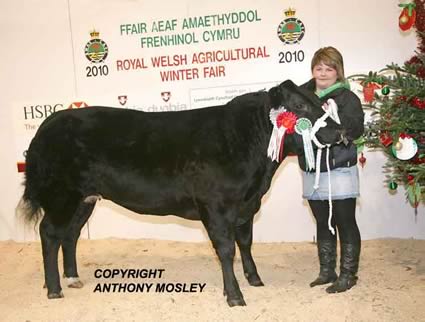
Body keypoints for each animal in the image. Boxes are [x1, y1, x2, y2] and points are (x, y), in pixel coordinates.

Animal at [19, 80, 342, 306]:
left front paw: (254, 279)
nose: (340, 133)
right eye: (300, 107)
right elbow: (226, 249)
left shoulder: (246, 205)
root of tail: (50, 122)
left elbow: (246, 243)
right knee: (50, 233)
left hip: (84, 199)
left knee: (70, 234)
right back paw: (54, 289)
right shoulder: (217, 206)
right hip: (62, 195)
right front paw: (234, 295)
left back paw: (72, 278)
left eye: (319, 101)